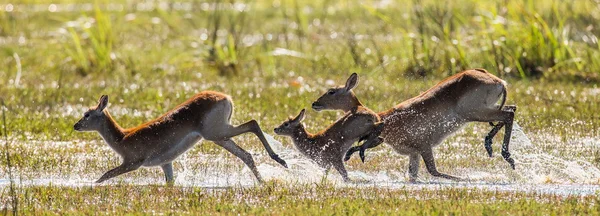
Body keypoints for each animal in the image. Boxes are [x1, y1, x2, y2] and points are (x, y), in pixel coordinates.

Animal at [72, 92, 288, 185]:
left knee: (253, 123)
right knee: (247, 155)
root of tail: (225, 97)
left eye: (87, 114)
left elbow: (105, 175)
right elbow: (170, 182)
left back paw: (280, 160)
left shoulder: (132, 163)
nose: (75, 125)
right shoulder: (166, 163)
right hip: (220, 137)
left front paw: (90, 184)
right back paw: (264, 180)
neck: (123, 138)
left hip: (216, 133)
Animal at [314, 70, 516, 181]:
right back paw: (493, 147)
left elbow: (434, 171)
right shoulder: (414, 153)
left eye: (331, 91)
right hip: (485, 110)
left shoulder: (424, 146)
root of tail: (498, 80)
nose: (314, 104)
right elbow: (413, 176)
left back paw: (505, 155)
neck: (384, 118)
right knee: (511, 109)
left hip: (475, 113)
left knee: (509, 114)